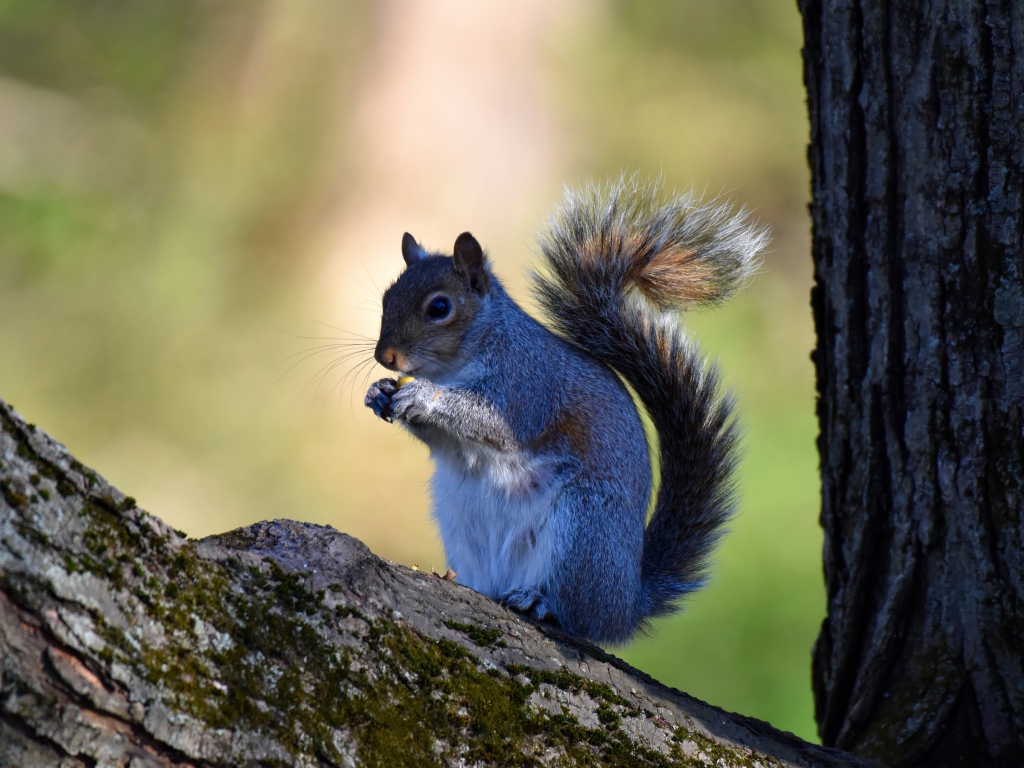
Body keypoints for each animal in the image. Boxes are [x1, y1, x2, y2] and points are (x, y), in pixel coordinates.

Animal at [364, 180, 765, 643]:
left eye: (440, 308)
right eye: (386, 297)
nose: (385, 357)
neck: (455, 364)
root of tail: (627, 603)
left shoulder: (526, 387)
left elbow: (484, 418)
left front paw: (422, 397)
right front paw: (379, 393)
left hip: (582, 529)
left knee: (580, 615)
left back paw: (541, 601)